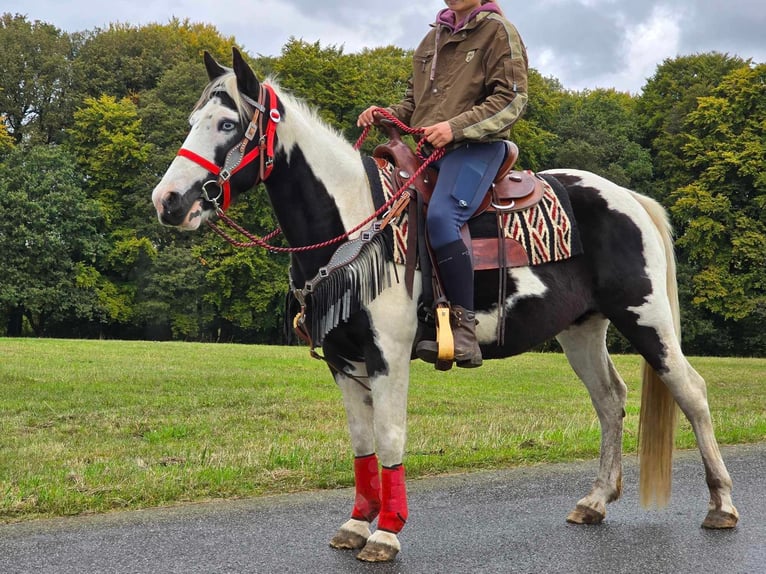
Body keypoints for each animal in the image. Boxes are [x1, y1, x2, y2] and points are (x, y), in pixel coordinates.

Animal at [148, 48, 736, 564]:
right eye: (194, 119)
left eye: (228, 124)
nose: (168, 202)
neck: (356, 224)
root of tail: (628, 197)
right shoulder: (343, 362)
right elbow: (362, 445)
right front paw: (357, 524)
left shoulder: (388, 357)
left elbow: (390, 438)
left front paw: (386, 533)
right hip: (582, 330)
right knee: (610, 400)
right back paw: (594, 502)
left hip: (646, 318)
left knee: (692, 392)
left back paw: (721, 505)